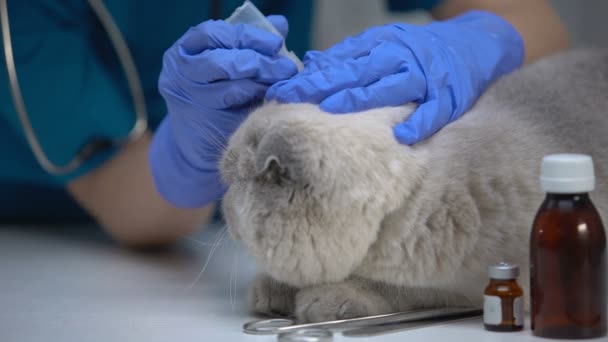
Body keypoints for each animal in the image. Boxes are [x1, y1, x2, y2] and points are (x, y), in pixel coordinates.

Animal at [220, 48, 608, 324]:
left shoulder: (465, 285)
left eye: (230, 183)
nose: (221, 206)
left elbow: (395, 288)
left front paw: (325, 299)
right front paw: (275, 291)